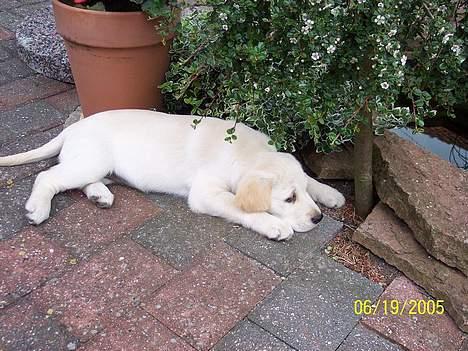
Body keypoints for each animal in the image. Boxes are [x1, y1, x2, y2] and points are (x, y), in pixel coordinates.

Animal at [0, 110, 344, 242]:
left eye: (303, 192)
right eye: (289, 199)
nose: (317, 219)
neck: (246, 152)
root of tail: (72, 128)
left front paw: (330, 193)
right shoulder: (206, 194)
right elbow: (240, 207)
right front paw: (274, 224)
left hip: (98, 166)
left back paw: (100, 195)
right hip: (92, 160)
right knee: (48, 177)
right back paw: (38, 208)